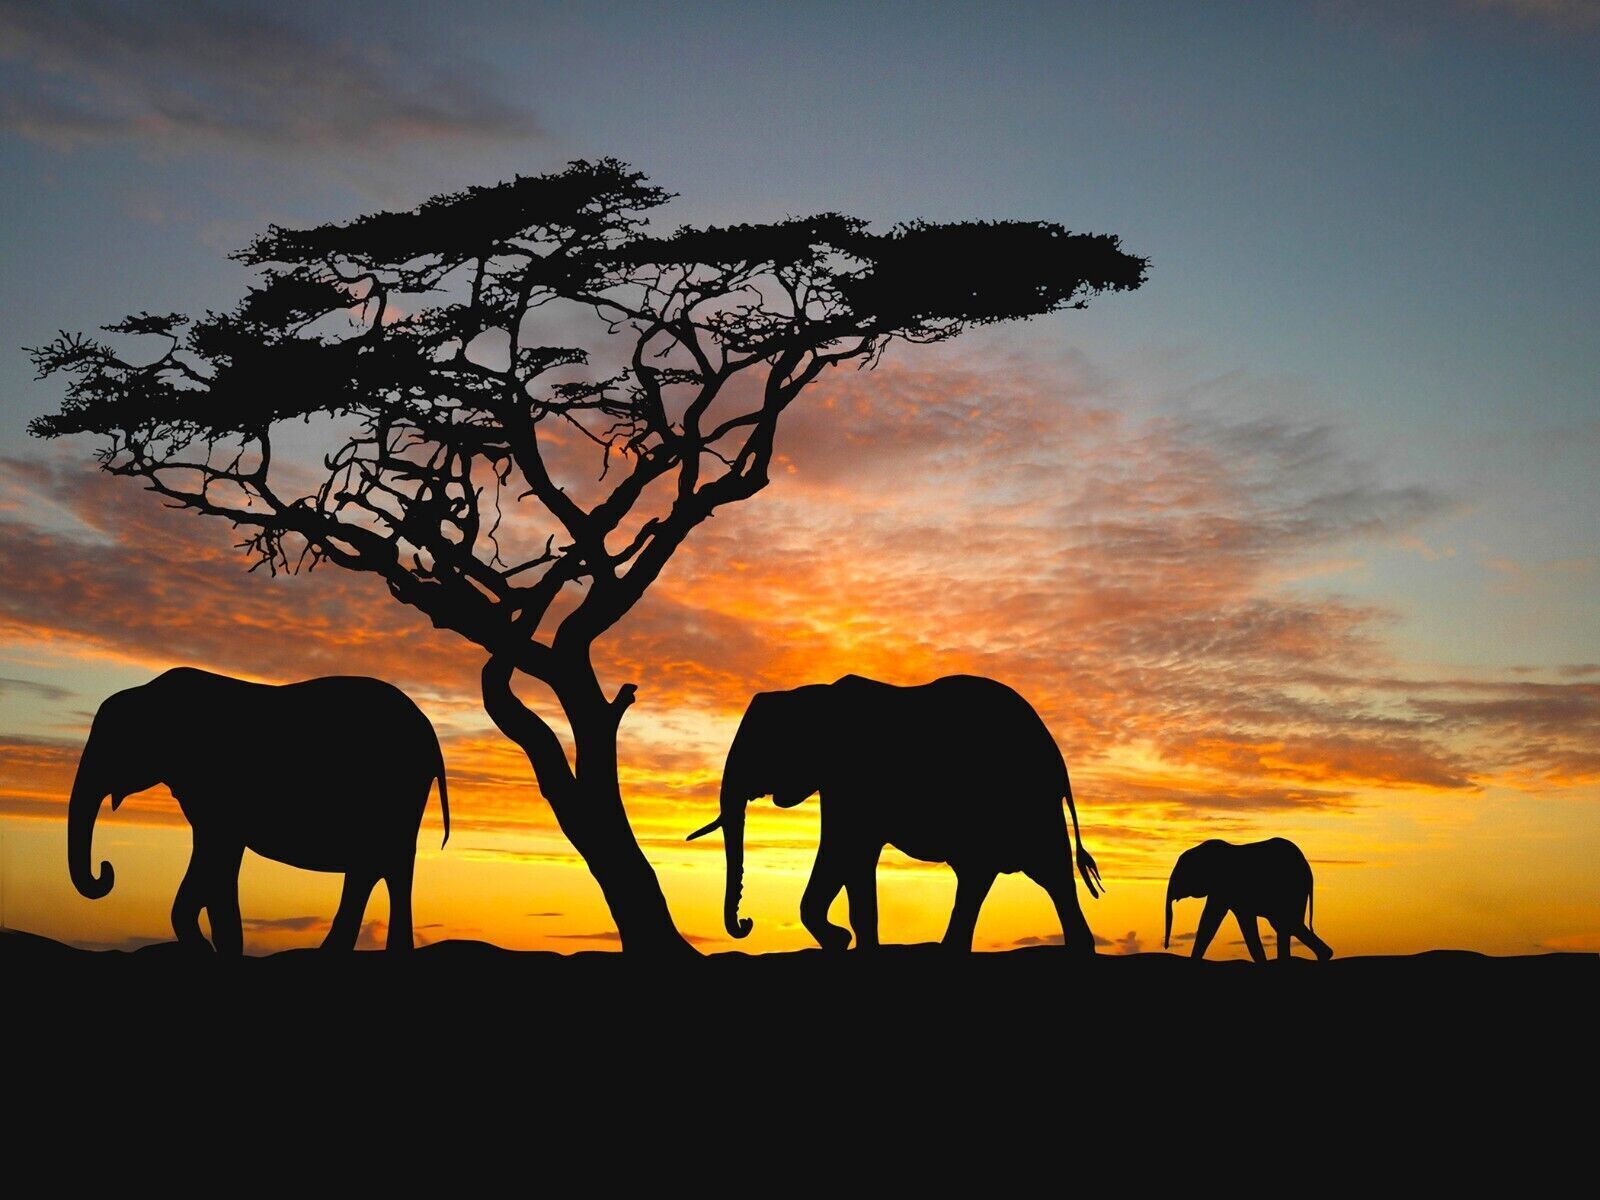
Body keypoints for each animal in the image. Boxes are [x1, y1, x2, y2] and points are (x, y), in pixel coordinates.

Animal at [67, 667, 449, 954]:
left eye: (111, 744)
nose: (106, 871)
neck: (150, 692)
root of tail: (430, 734)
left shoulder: (217, 789)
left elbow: (217, 855)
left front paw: (214, 948)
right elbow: (214, 859)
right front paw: (214, 946)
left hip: (396, 792)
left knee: (385, 865)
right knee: (376, 867)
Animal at [687, 674, 1103, 953]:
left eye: (759, 749)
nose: (746, 922)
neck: (812, 694)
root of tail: (1056, 756)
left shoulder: (854, 780)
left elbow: (845, 850)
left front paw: (844, 941)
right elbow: (847, 858)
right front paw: (845, 942)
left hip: (1026, 802)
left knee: (1047, 873)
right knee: (989, 876)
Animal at [1164, 837, 1332, 963]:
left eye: (1181, 873)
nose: (1166, 947)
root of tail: (1308, 868)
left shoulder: (1223, 888)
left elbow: (1211, 920)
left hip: (1292, 891)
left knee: (1288, 924)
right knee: (1286, 925)